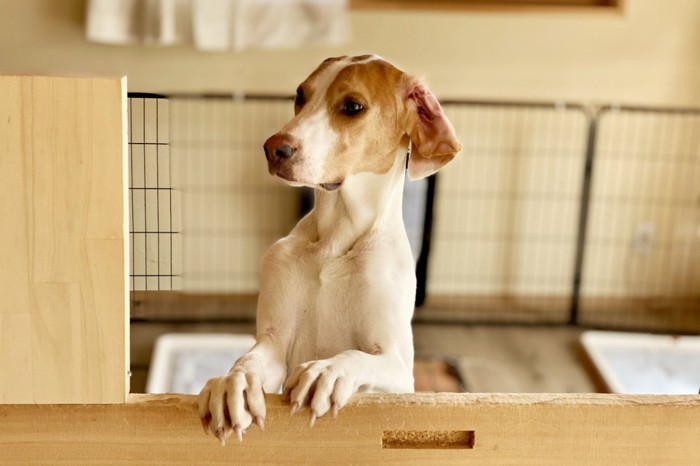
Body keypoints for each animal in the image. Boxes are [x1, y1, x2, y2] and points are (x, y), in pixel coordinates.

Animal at [198, 54, 460, 444]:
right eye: (300, 95)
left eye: (353, 106)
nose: (275, 148)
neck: (336, 242)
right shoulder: (274, 343)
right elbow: (249, 362)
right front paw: (234, 383)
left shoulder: (398, 368)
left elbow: (357, 356)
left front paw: (328, 371)